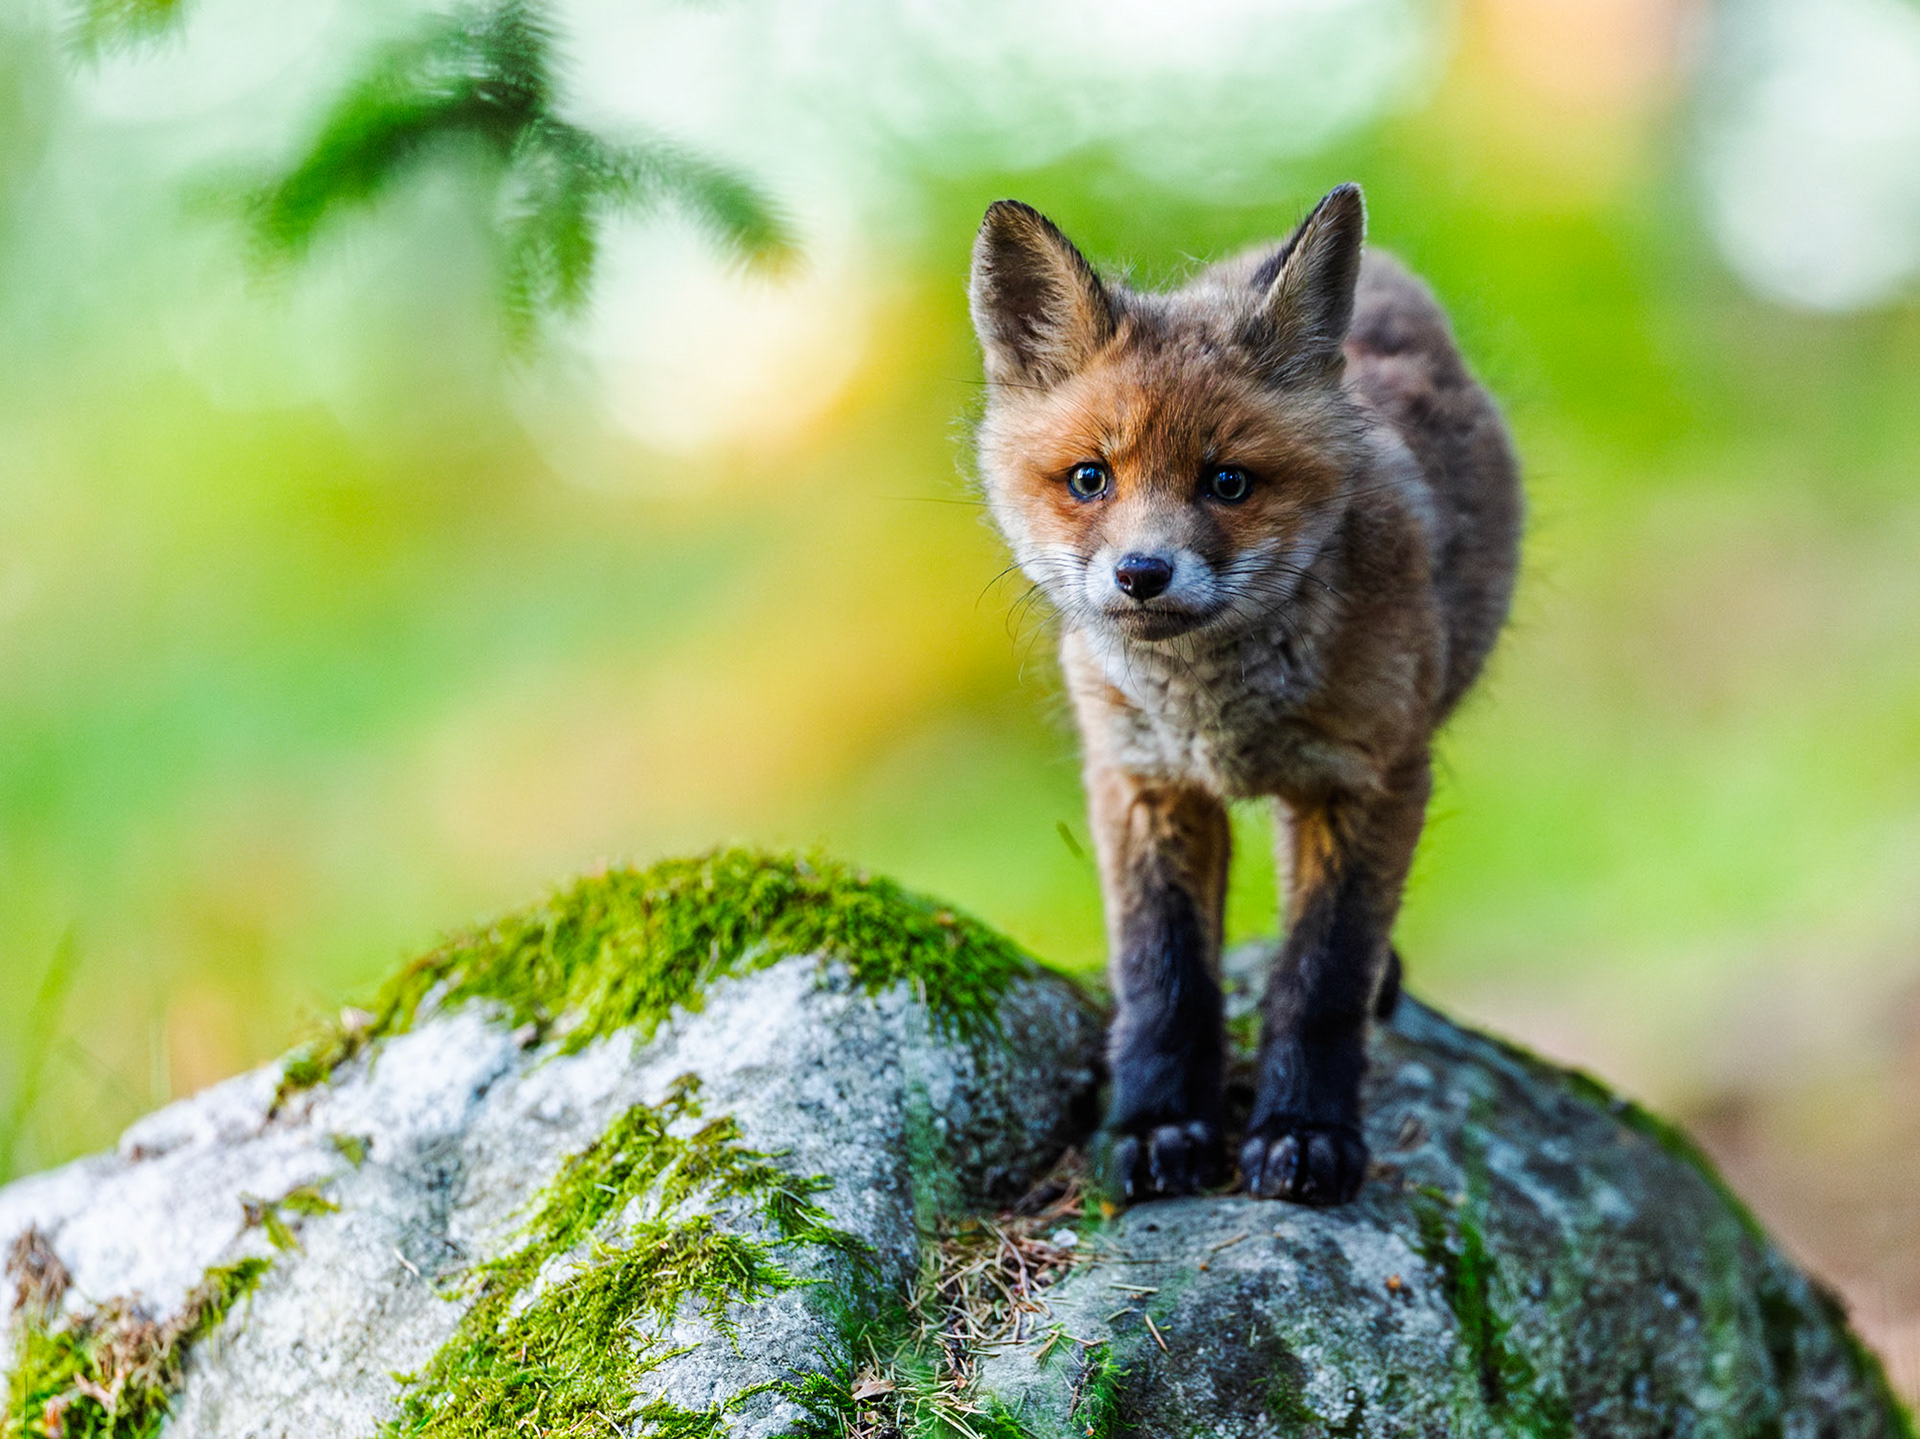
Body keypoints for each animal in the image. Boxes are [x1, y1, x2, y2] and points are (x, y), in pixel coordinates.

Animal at [968, 183, 1521, 1206]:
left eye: (1228, 481)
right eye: (1089, 478)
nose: (1142, 572)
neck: (1215, 714)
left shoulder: (1370, 777)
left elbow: (1321, 979)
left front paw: (1305, 1129)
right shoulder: (1144, 779)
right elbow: (1165, 976)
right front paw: (1157, 1124)